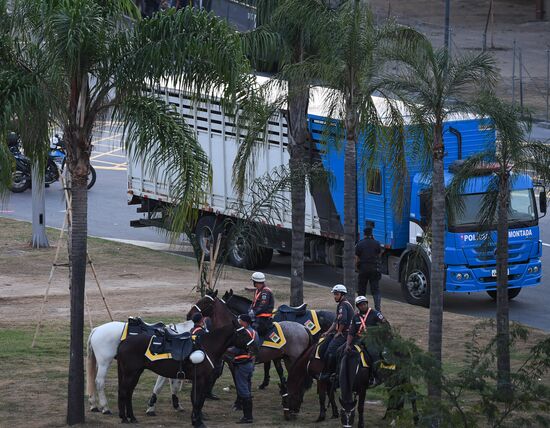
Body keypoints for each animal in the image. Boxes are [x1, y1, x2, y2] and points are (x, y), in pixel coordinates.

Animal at [118, 322, 256, 426]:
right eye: (243, 333)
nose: (255, 346)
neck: (206, 347)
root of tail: (123, 342)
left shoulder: (199, 380)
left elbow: (198, 400)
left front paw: (196, 420)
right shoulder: (200, 379)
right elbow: (197, 400)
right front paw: (197, 422)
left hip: (135, 373)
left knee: (128, 393)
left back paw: (131, 417)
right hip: (131, 373)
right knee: (124, 392)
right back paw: (125, 418)